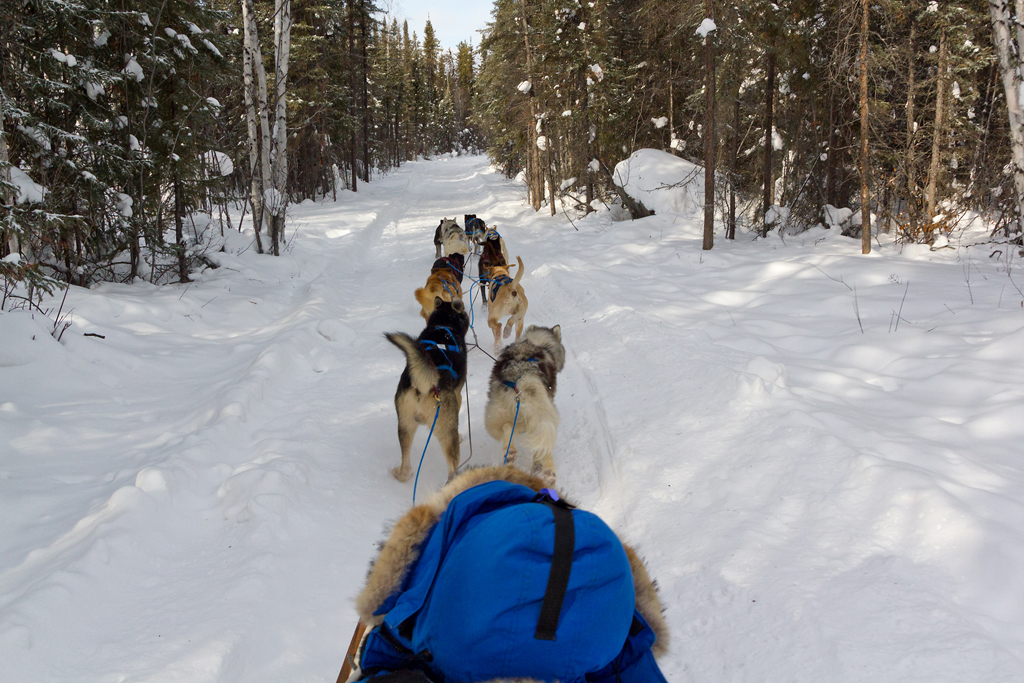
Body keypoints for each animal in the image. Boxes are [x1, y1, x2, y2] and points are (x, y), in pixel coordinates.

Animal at [483, 325, 565, 485]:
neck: (537, 342)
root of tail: (522, 372)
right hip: (540, 412)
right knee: (543, 443)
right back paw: (548, 471)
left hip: (496, 414)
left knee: (507, 427)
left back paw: (509, 452)